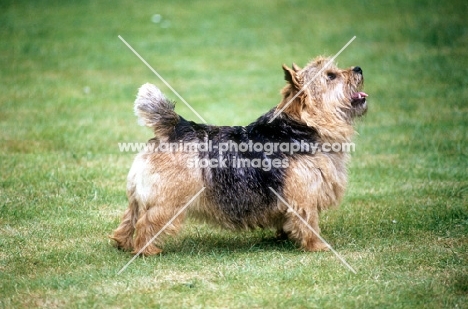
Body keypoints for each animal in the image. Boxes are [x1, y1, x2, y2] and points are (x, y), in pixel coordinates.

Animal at [111, 56, 368, 254]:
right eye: (331, 76)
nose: (359, 68)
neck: (302, 126)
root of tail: (177, 127)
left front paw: (284, 236)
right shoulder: (304, 195)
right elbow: (309, 223)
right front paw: (318, 246)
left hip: (139, 194)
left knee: (129, 217)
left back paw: (122, 243)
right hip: (168, 201)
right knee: (147, 223)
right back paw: (147, 250)